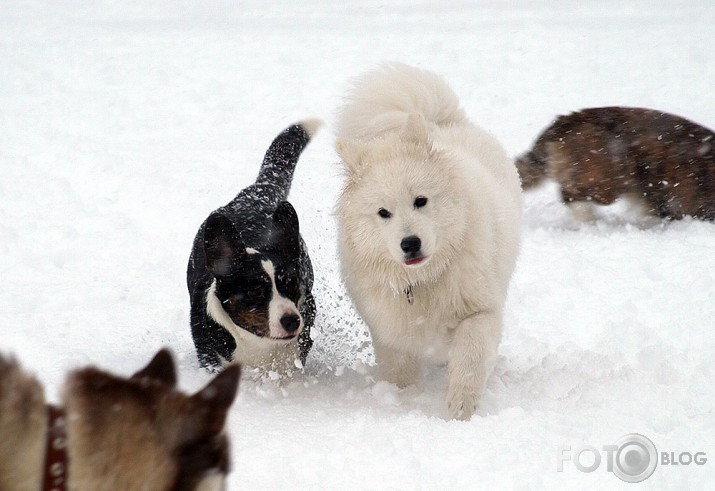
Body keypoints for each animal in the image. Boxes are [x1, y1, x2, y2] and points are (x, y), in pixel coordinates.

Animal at [336, 63, 520, 420]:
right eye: (383, 213)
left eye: (420, 200)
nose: (410, 243)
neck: (422, 282)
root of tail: (440, 122)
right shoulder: (390, 331)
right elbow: (399, 373)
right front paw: (404, 401)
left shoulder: (481, 309)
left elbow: (471, 354)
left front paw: (461, 407)